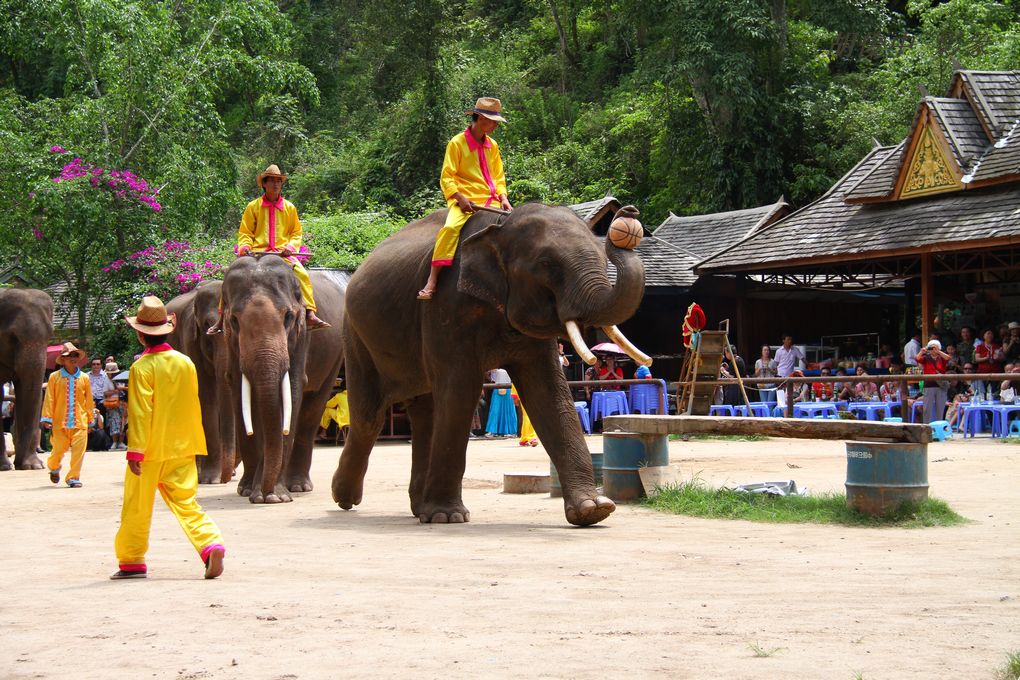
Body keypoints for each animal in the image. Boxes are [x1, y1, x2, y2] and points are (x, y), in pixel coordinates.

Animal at [221, 254, 344, 505]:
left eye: (288, 316)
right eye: (234, 320)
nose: (267, 492)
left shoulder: (302, 335)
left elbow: (294, 390)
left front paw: (272, 497)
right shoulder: (231, 343)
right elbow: (240, 391)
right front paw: (253, 492)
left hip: (335, 355)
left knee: (312, 409)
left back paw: (297, 486)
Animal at [334, 201, 652, 526]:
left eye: (602, 257)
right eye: (546, 264)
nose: (627, 216)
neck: (500, 227)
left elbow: (549, 393)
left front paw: (593, 510)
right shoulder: (445, 306)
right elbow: (461, 390)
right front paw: (448, 516)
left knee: (425, 414)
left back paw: (418, 509)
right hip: (355, 335)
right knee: (369, 417)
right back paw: (346, 500)